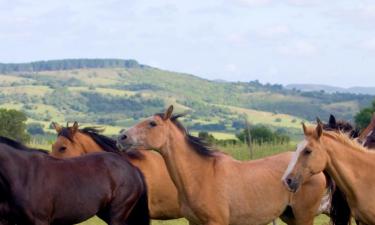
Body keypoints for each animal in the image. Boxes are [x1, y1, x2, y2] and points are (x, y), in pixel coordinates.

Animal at [116, 105, 330, 225]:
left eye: (152, 124)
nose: (122, 137)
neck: (201, 175)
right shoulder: (194, 223)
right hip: (290, 217)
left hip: (304, 217)